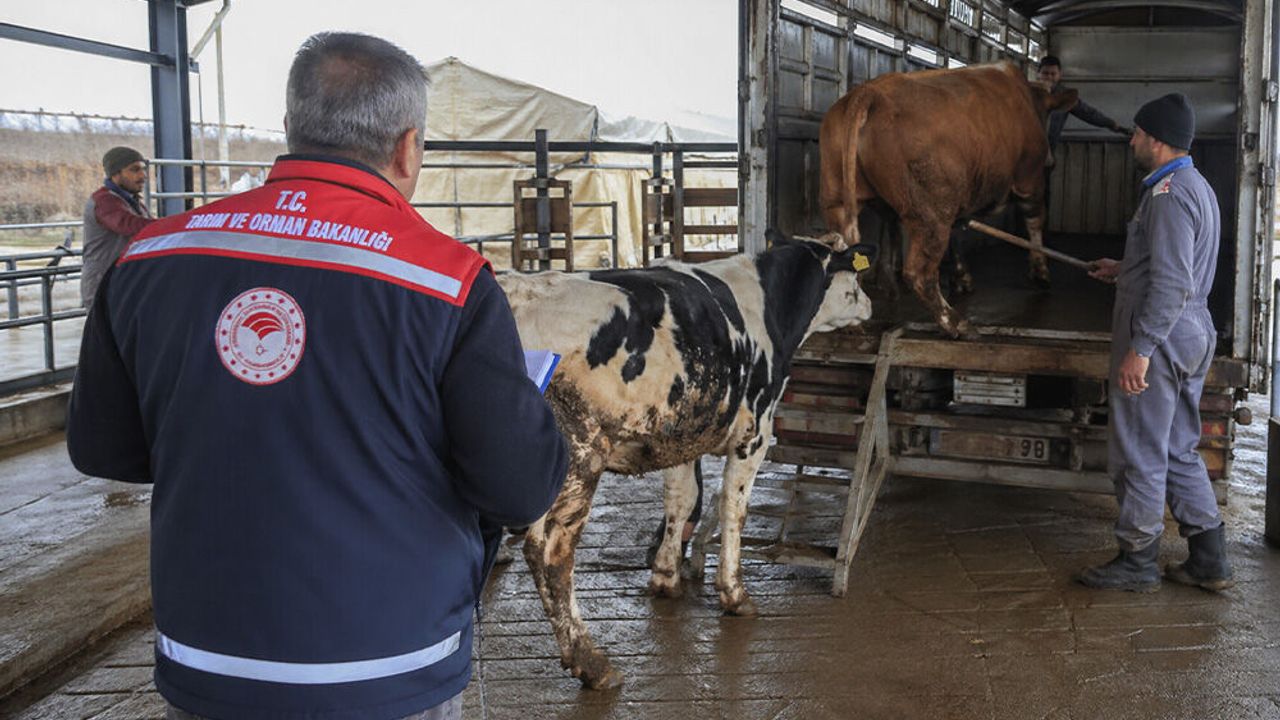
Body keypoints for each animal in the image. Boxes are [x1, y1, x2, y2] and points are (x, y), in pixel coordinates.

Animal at [497, 231, 873, 689]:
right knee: (550, 552)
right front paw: (734, 593)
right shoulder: (755, 434)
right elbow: (734, 509)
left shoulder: (680, 436)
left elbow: (681, 499)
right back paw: (592, 661)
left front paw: (665, 577)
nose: (871, 305)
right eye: (856, 275)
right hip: (579, 456)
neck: (770, 306)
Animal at [819, 61, 1078, 339]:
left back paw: (852, 323)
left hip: (838, 199)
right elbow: (1035, 220)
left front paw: (962, 279)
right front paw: (1040, 273)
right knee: (919, 272)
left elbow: (958, 233)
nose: (1051, 160)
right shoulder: (1030, 178)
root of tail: (869, 92)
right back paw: (956, 323)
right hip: (930, 212)